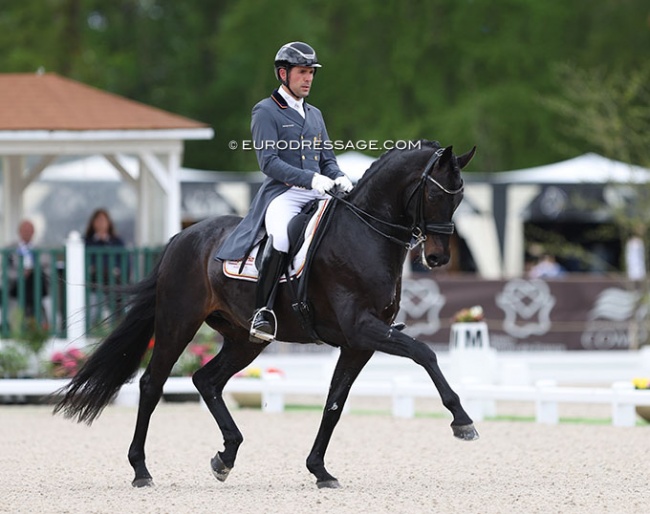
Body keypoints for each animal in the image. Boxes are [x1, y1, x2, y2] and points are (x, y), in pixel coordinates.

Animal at [54, 139, 476, 484]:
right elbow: (424, 353)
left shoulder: (358, 344)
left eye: (459, 199)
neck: (365, 233)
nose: (437, 258)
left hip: (245, 339)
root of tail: (183, 236)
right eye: (435, 194)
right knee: (151, 384)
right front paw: (462, 421)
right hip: (178, 323)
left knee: (206, 380)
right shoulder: (362, 329)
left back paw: (226, 456)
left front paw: (319, 470)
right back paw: (141, 470)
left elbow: (335, 403)